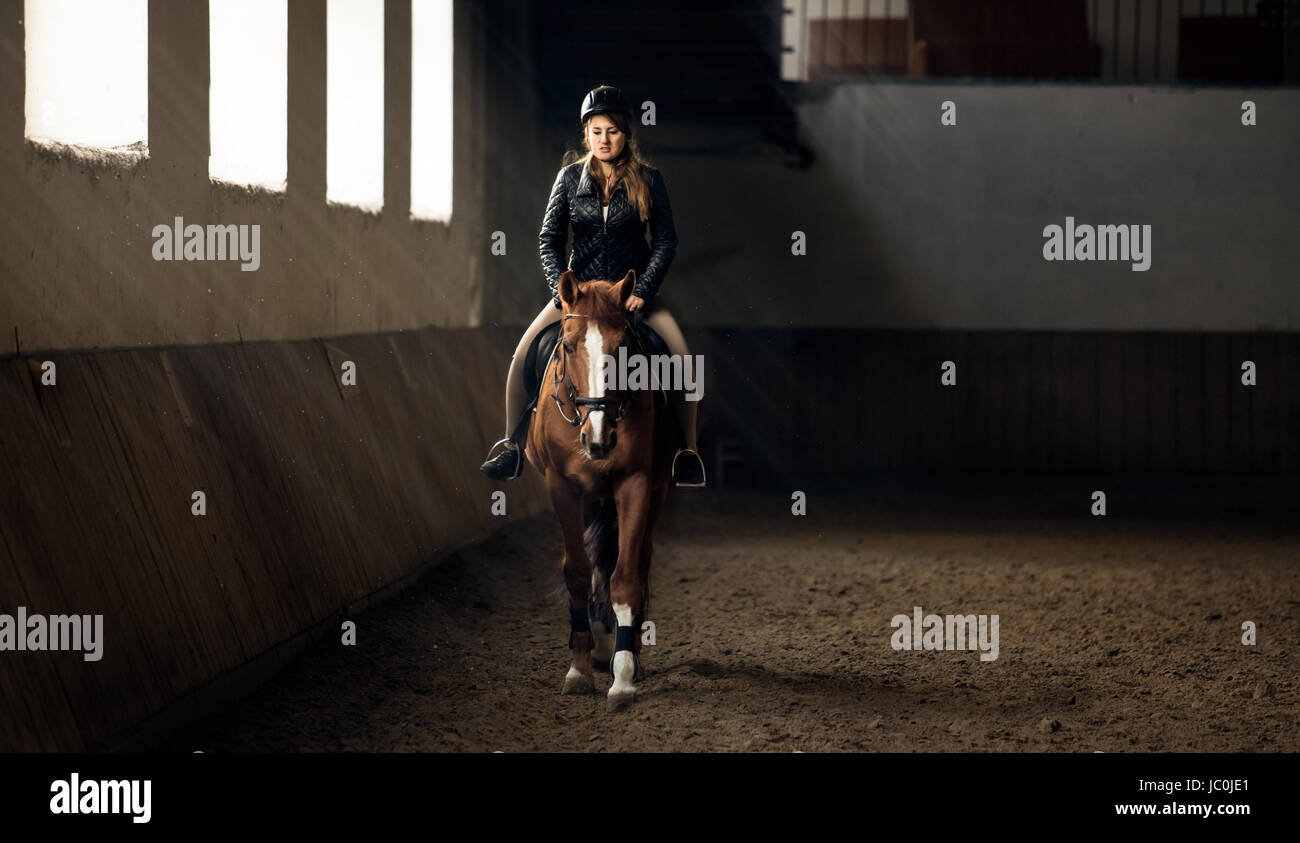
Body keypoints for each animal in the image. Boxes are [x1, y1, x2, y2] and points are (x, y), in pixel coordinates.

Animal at [520, 266, 676, 707]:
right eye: (569, 347)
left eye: (622, 347)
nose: (598, 440)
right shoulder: (562, 487)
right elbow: (577, 570)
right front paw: (578, 670)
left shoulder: (636, 485)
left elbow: (625, 578)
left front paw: (623, 677)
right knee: (596, 564)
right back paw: (601, 648)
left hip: (656, 491)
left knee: (638, 563)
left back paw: (627, 652)